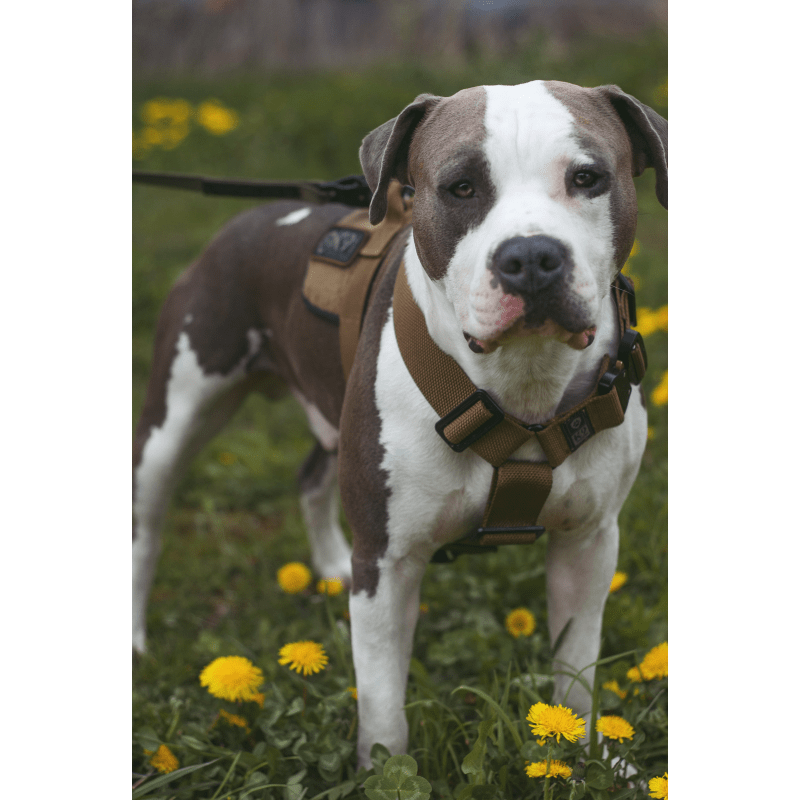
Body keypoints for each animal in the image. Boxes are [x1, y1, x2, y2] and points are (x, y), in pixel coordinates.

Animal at [133, 79, 667, 767]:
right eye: (460, 187)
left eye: (588, 177)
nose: (530, 256)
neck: (521, 382)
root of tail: (255, 215)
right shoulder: (387, 561)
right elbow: (384, 702)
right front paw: (383, 770)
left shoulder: (589, 542)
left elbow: (575, 670)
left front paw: (583, 760)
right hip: (175, 415)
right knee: (147, 522)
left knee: (310, 475)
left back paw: (330, 565)